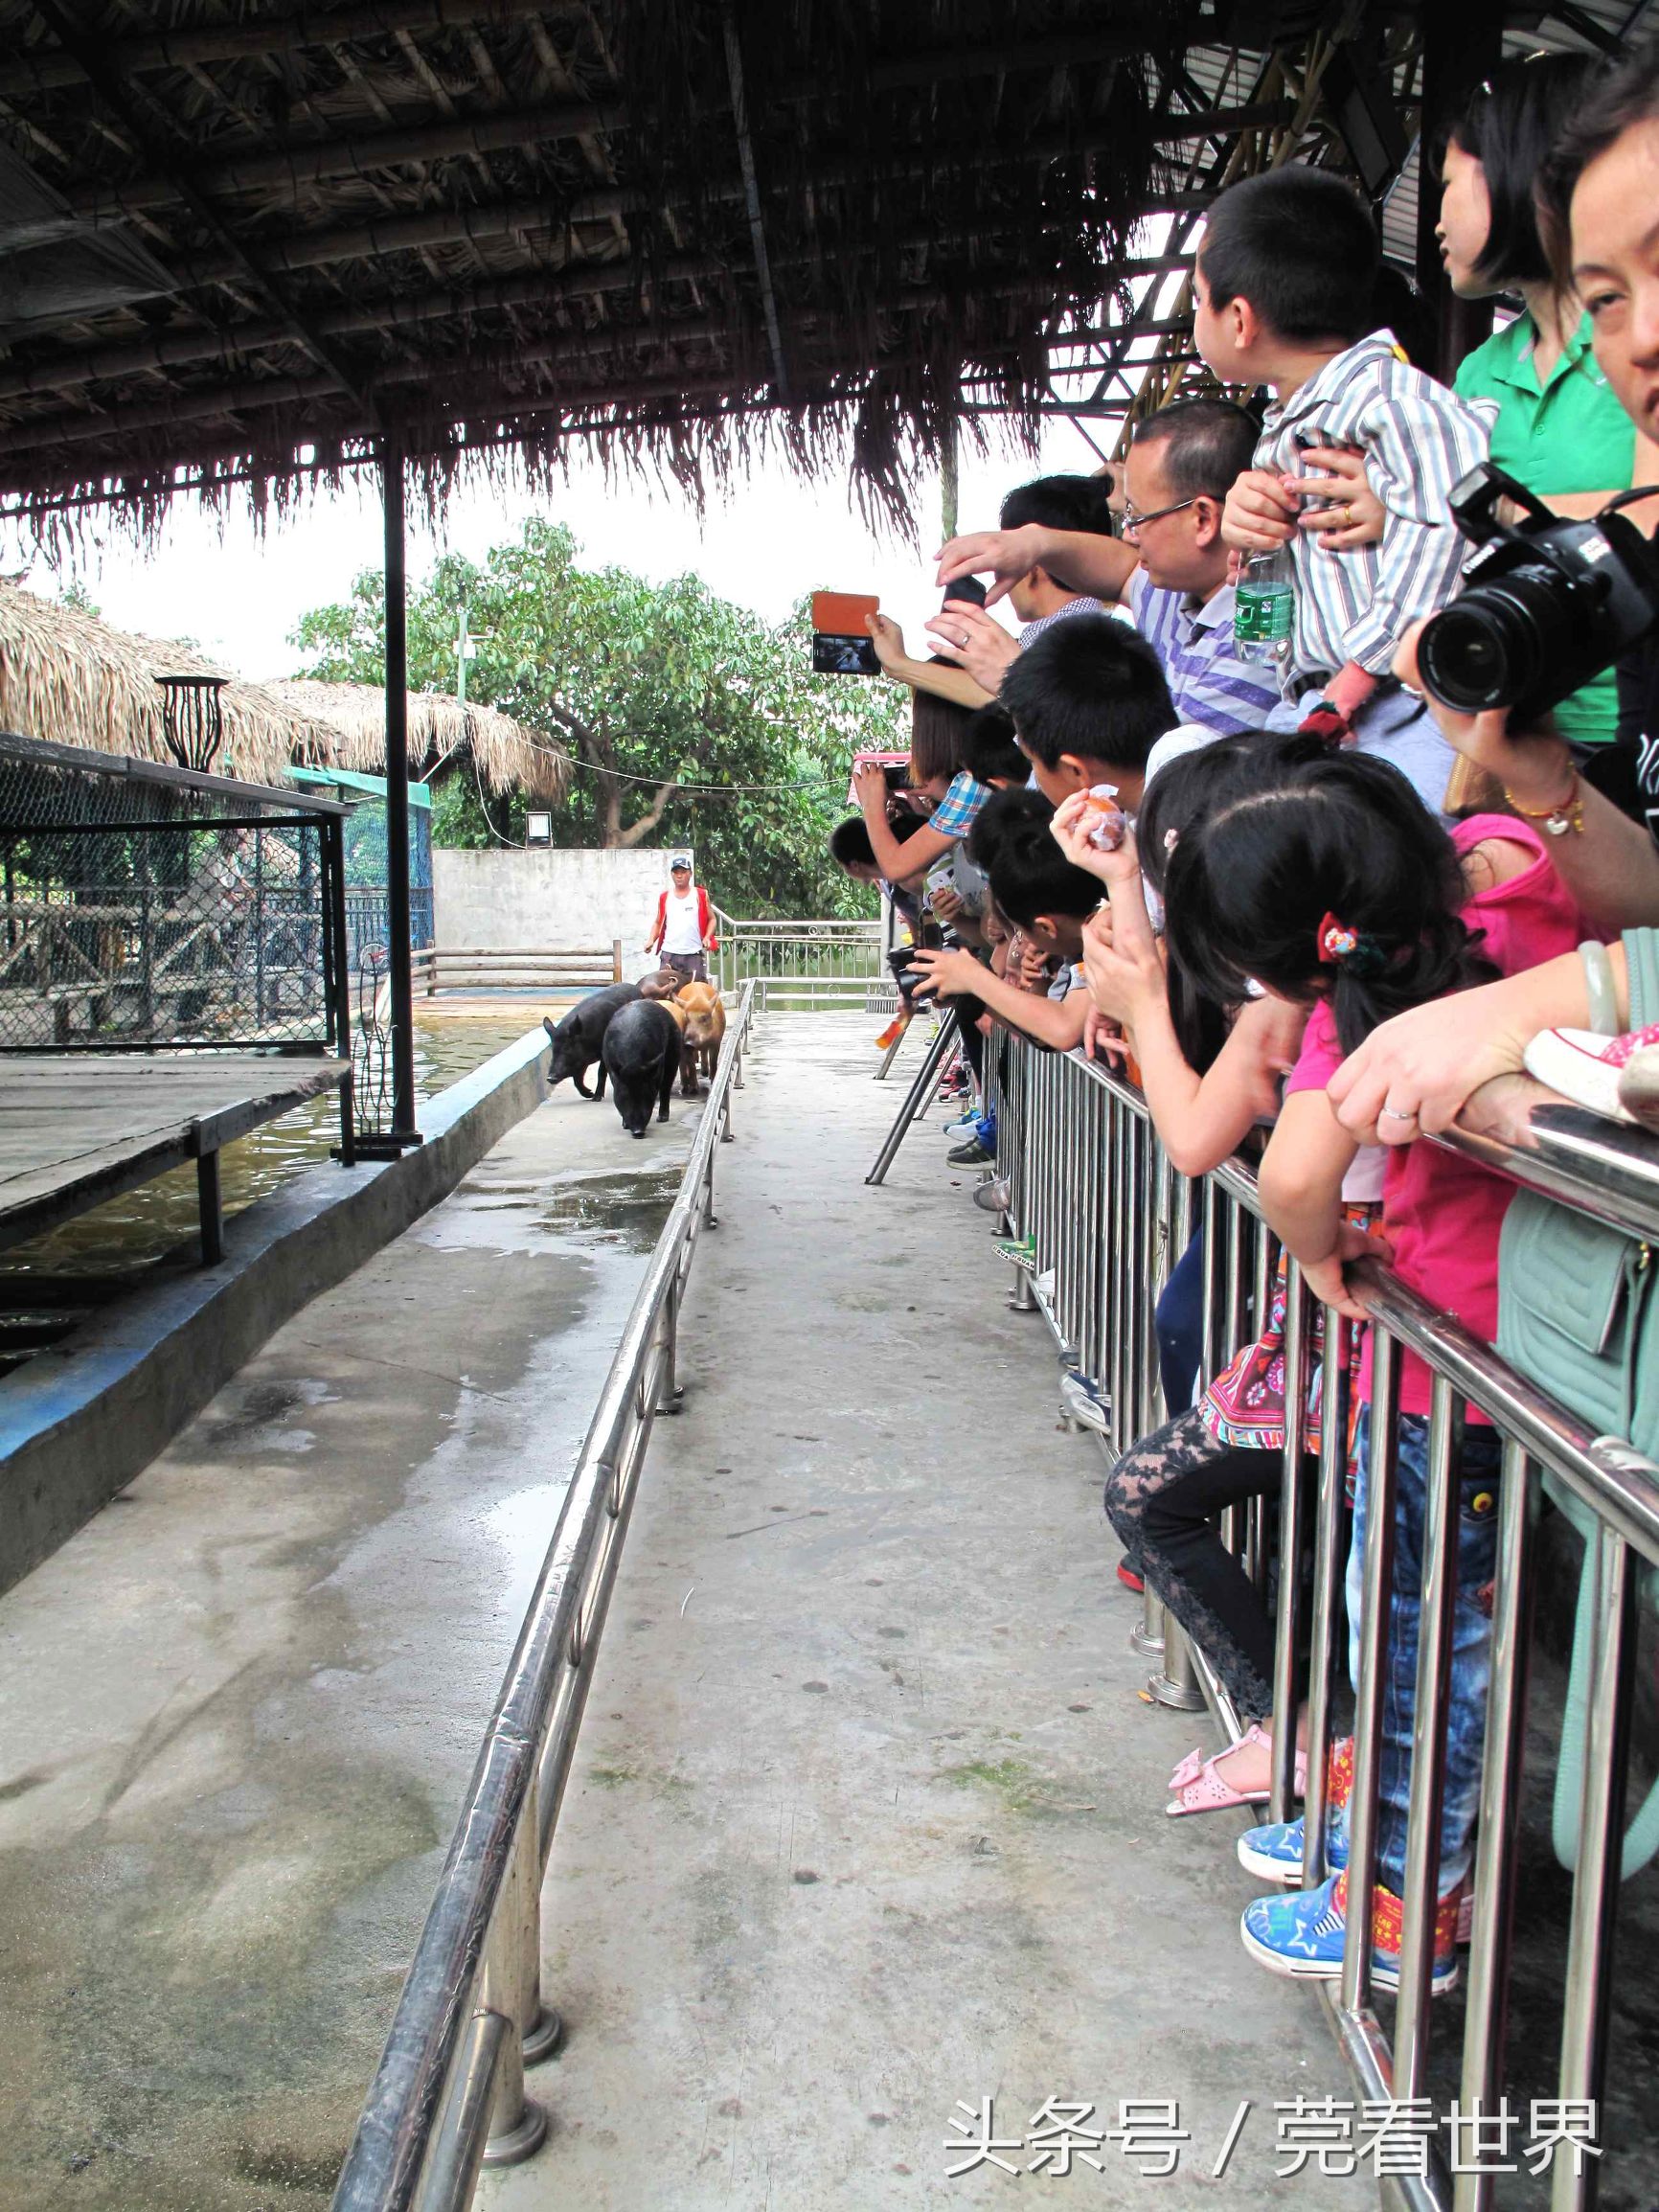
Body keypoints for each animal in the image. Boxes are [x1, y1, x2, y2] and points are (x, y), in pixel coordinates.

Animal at [602, 1004, 685, 1141]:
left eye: (646, 1094)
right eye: (626, 1095)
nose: (638, 1132)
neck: (633, 1062)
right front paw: (624, 1126)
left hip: (675, 1050)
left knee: (666, 1086)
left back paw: (662, 1118)